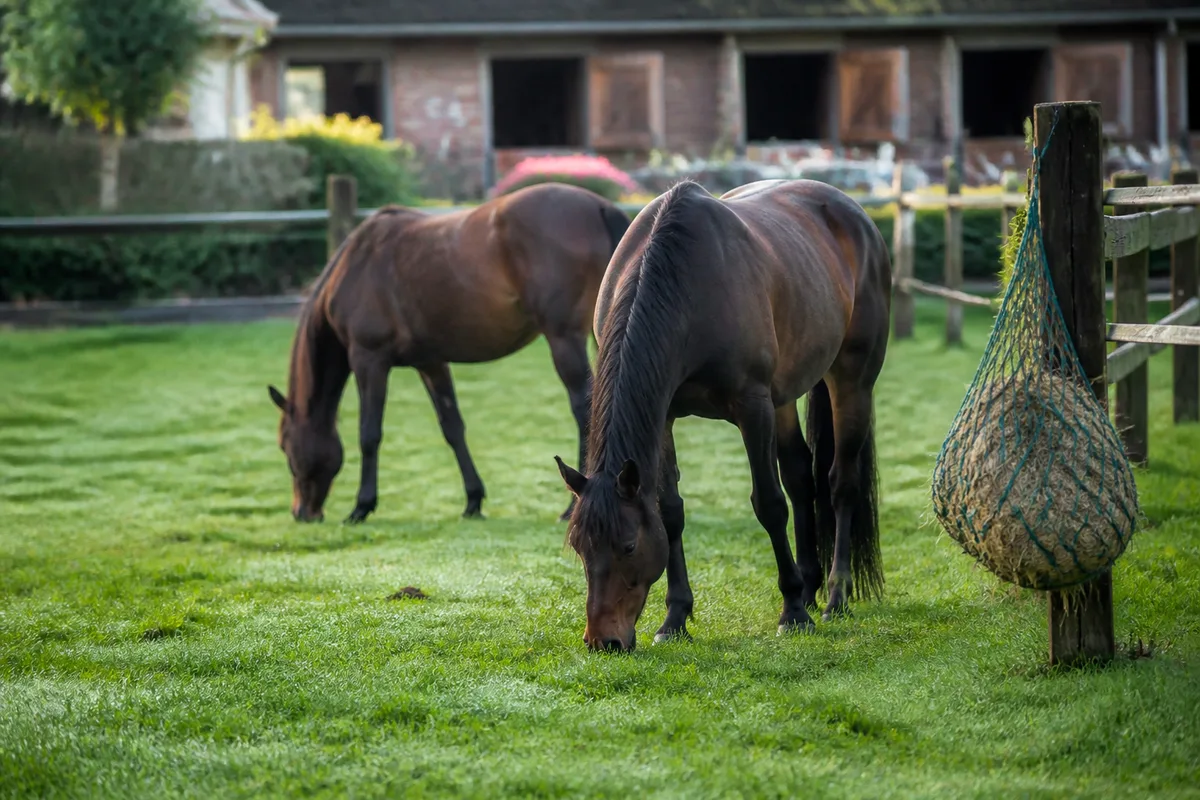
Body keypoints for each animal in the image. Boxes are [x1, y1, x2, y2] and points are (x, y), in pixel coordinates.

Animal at [269, 181, 631, 524]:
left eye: (285, 445)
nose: (302, 513)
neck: (356, 267)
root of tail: (598, 206)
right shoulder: (431, 362)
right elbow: (452, 427)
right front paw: (473, 501)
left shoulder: (368, 360)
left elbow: (369, 434)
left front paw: (361, 506)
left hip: (563, 339)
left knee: (586, 409)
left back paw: (571, 507)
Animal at [554, 178, 891, 652]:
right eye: (581, 548)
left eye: (628, 546)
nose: (604, 641)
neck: (685, 284)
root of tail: (856, 215)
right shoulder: (665, 416)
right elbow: (670, 511)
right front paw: (675, 617)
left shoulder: (753, 407)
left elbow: (769, 504)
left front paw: (793, 612)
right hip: (784, 397)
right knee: (801, 478)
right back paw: (810, 585)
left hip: (852, 381)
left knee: (840, 484)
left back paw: (832, 597)